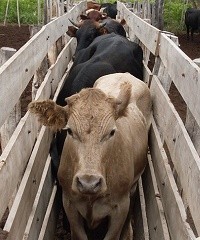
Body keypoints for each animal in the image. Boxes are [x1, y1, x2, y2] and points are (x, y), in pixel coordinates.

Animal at [28, 72, 152, 240]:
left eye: (112, 132)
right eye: (69, 130)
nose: (89, 183)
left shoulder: (120, 207)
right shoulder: (69, 203)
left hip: (132, 187)